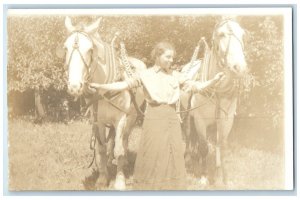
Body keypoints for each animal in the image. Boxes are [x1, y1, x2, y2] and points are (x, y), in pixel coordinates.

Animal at [59, 16, 146, 189]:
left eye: (90, 50)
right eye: (65, 48)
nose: (74, 87)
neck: (104, 87)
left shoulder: (120, 119)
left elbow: (119, 149)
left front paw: (119, 180)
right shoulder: (98, 120)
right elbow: (100, 148)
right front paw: (102, 178)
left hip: (132, 116)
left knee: (124, 139)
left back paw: (124, 162)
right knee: (111, 141)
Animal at [179, 18, 247, 187]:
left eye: (243, 35)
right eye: (221, 34)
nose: (240, 68)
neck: (217, 90)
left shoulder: (226, 120)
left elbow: (222, 148)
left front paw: (224, 179)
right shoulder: (200, 120)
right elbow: (204, 147)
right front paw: (203, 177)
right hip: (187, 116)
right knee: (189, 137)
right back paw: (188, 160)